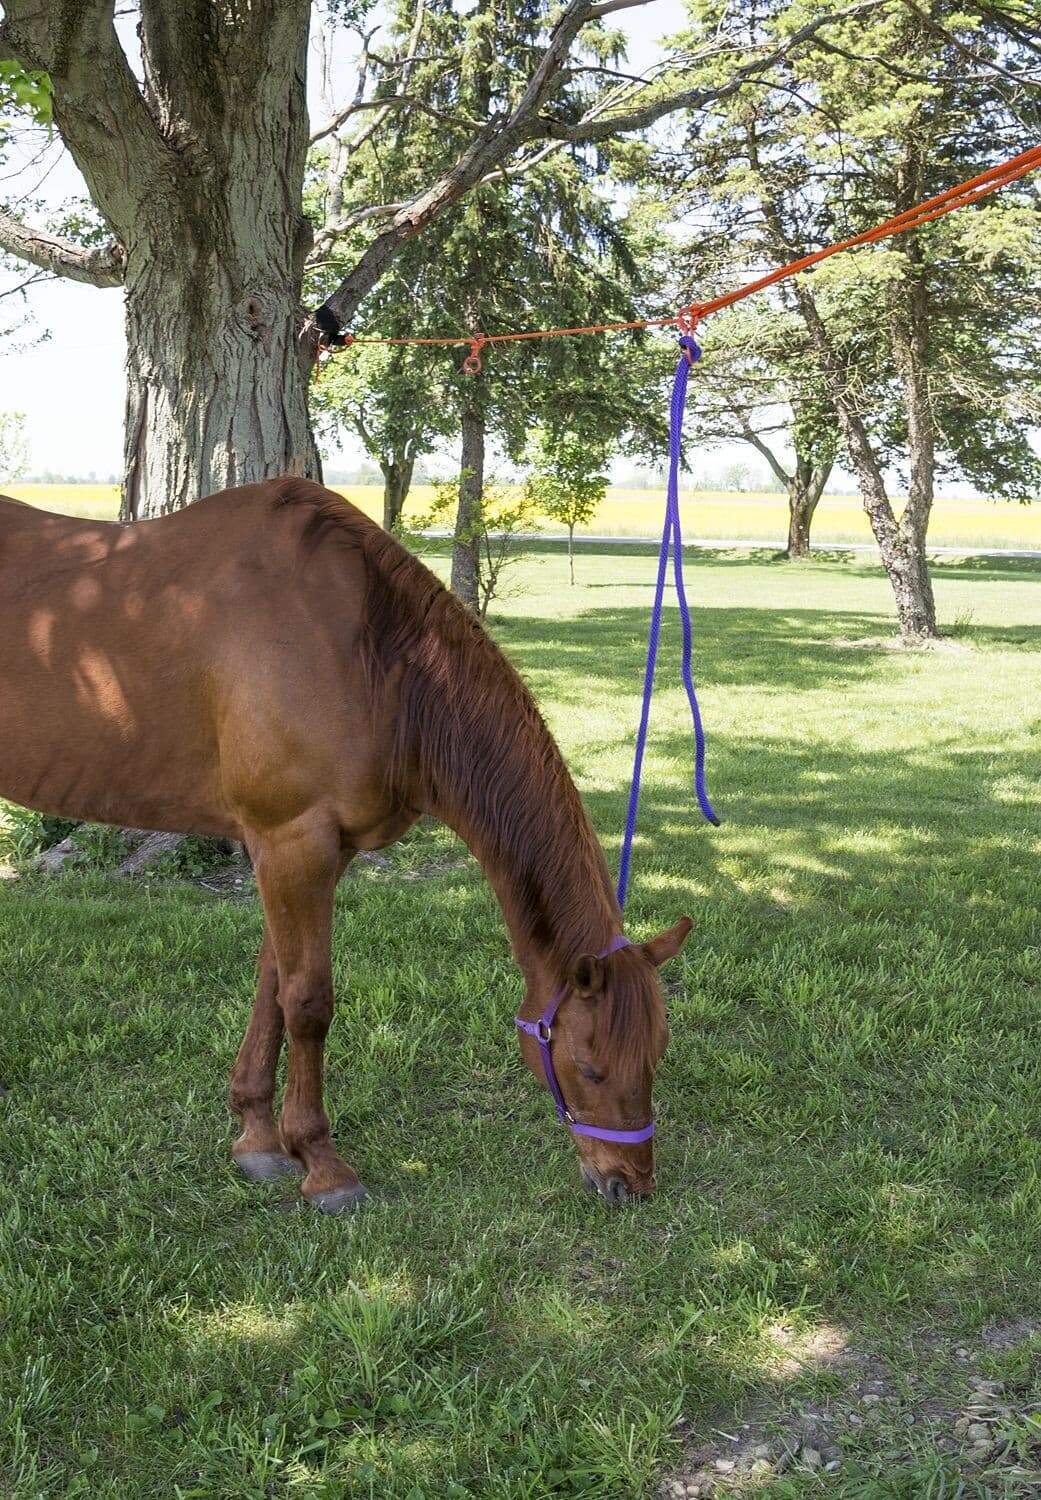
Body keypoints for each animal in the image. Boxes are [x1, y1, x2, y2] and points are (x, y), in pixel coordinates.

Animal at [0, 477, 691, 1211]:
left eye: (655, 1055)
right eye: (589, 1067)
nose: (629, 1183)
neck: (374, 664)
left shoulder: (313, 853)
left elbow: (273, 984)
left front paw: (257, 1136)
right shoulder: (291, 841)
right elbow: (307, 1003)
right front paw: (322, 1164)